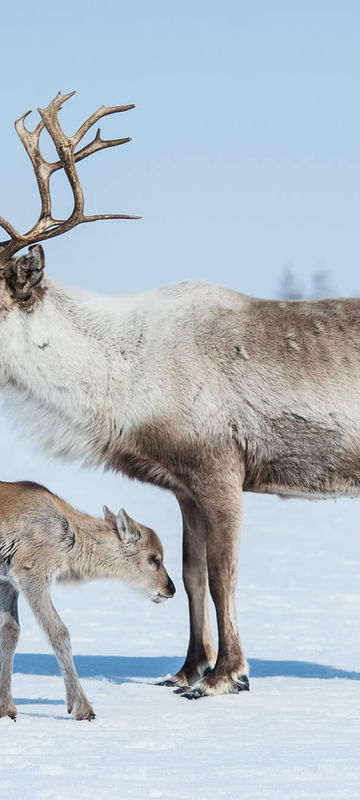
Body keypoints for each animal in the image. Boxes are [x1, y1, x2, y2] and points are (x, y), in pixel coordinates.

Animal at [0, 478, 174, 720]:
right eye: (155, 559)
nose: (171, 588)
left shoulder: (7, 582)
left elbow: (10, 632)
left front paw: (6, 708)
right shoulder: (31, 574)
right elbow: (59, 633)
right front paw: (82, 708)